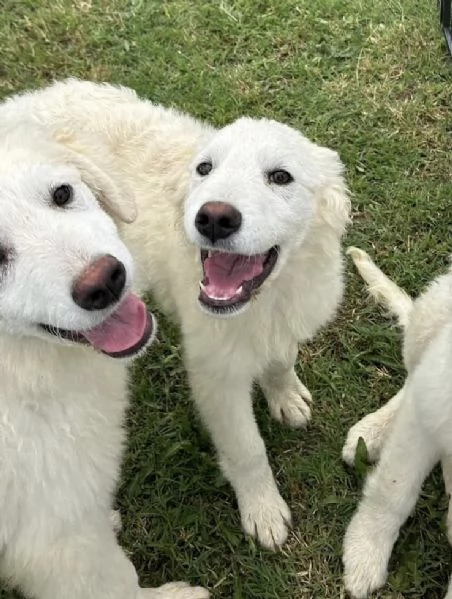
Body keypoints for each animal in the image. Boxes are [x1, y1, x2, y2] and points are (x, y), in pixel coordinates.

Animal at [0, 79, 350, 548]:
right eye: (204, 169)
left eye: (280, 177)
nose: (214, 218)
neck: (269, 297)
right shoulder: (215, 376)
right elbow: (247, 449)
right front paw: (263, 511)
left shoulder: (283, 320)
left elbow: (281, 360)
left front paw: (287, 397)